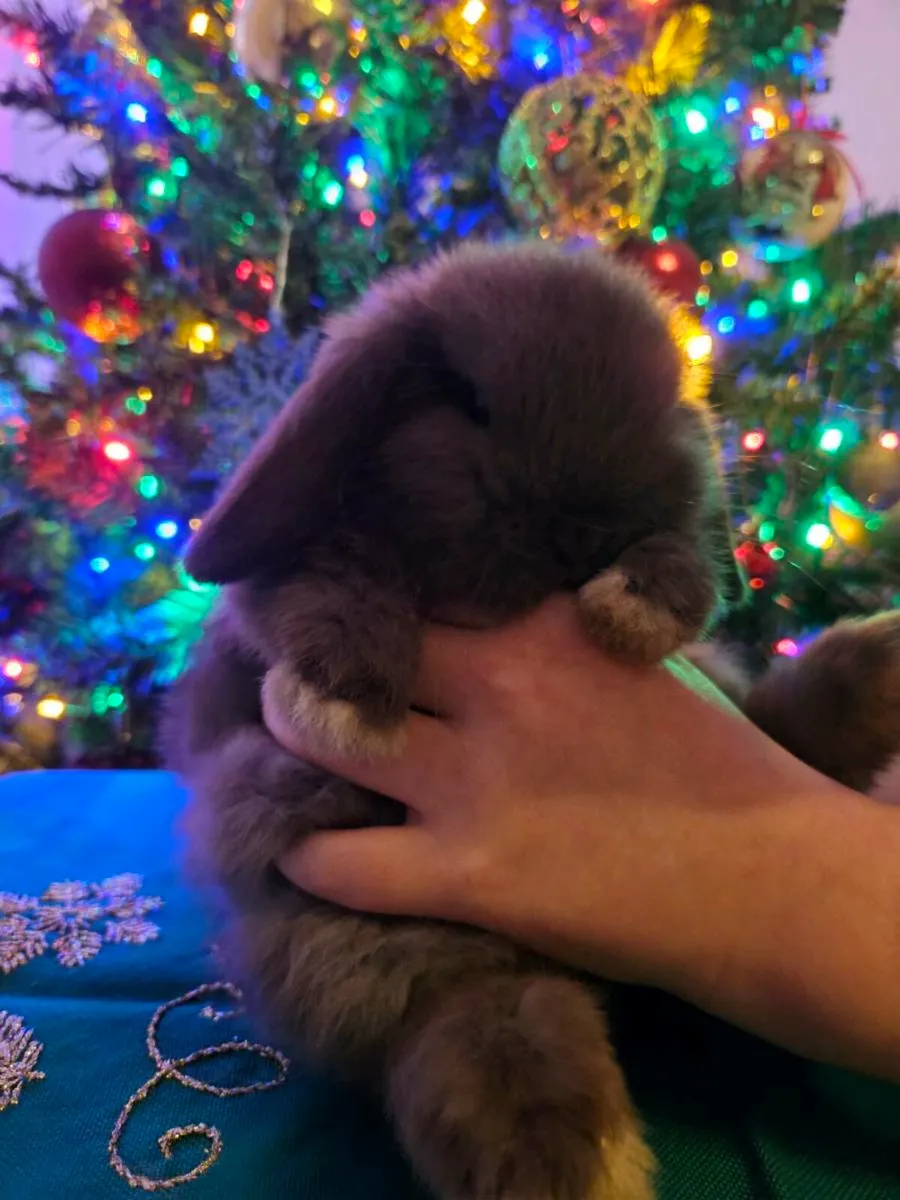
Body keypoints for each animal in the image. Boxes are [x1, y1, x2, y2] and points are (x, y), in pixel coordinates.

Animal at [163, 239, 900, 1200]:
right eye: (463, 398)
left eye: (668, 395)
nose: (583, 530)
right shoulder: (263, 624)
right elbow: (317, 575)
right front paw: (347, 700)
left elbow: (689, 571)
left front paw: (633, 606)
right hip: (385, 942)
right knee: (485, 1027)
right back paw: (581, 1168)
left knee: (781, 726)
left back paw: (881, 663)